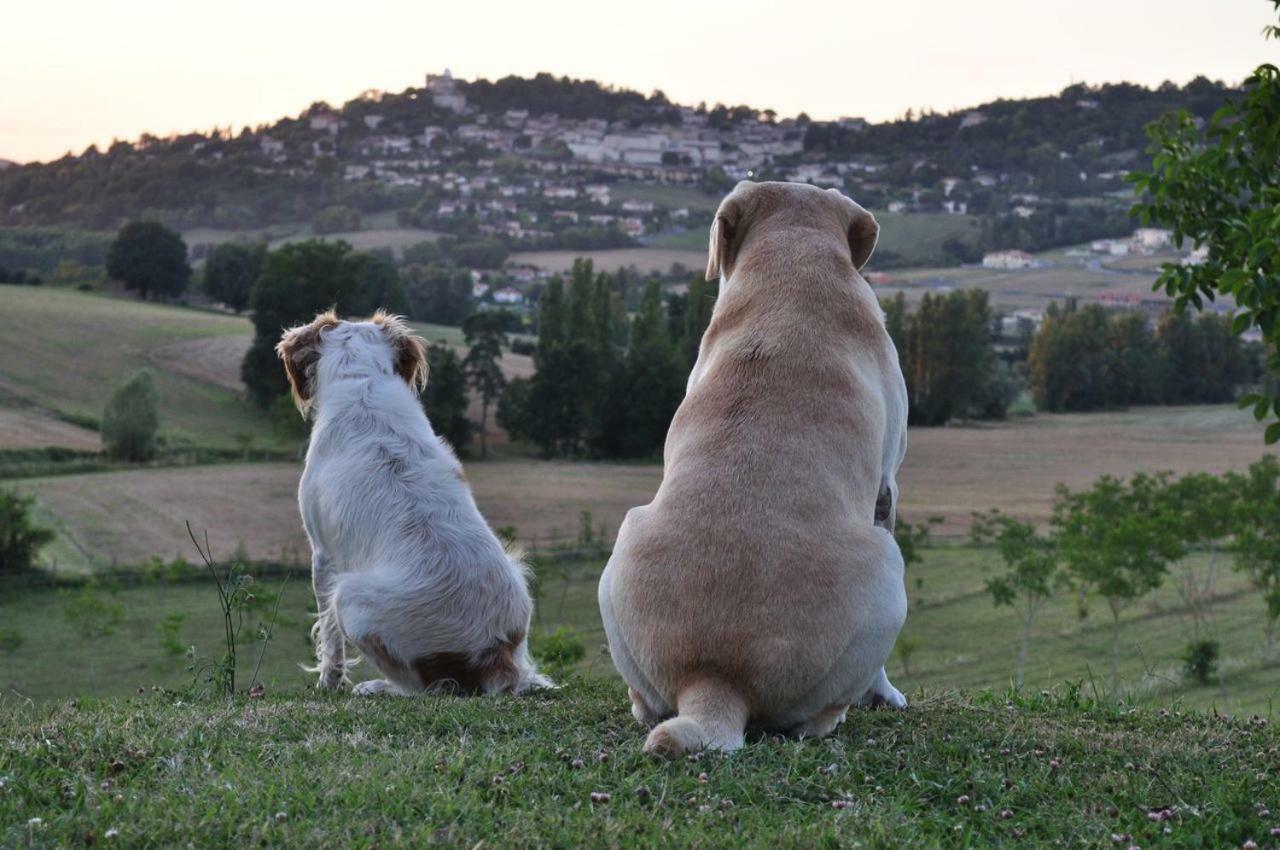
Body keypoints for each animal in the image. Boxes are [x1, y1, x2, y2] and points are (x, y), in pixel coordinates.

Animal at [277, 308, 547, 696]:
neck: (363, 382)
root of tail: (494, 657)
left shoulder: (323, 556)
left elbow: (329, 637)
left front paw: (329, 682)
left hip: (351, 599)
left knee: (427, 689)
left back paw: (377, 687)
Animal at [596, 180, 911, 757]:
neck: (793, 260)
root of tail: (715, 679)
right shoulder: (887, 487)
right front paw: (885, 694)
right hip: (887, 563)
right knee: (815, 717)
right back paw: (834, 716)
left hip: (624, 544)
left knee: (646, 702)